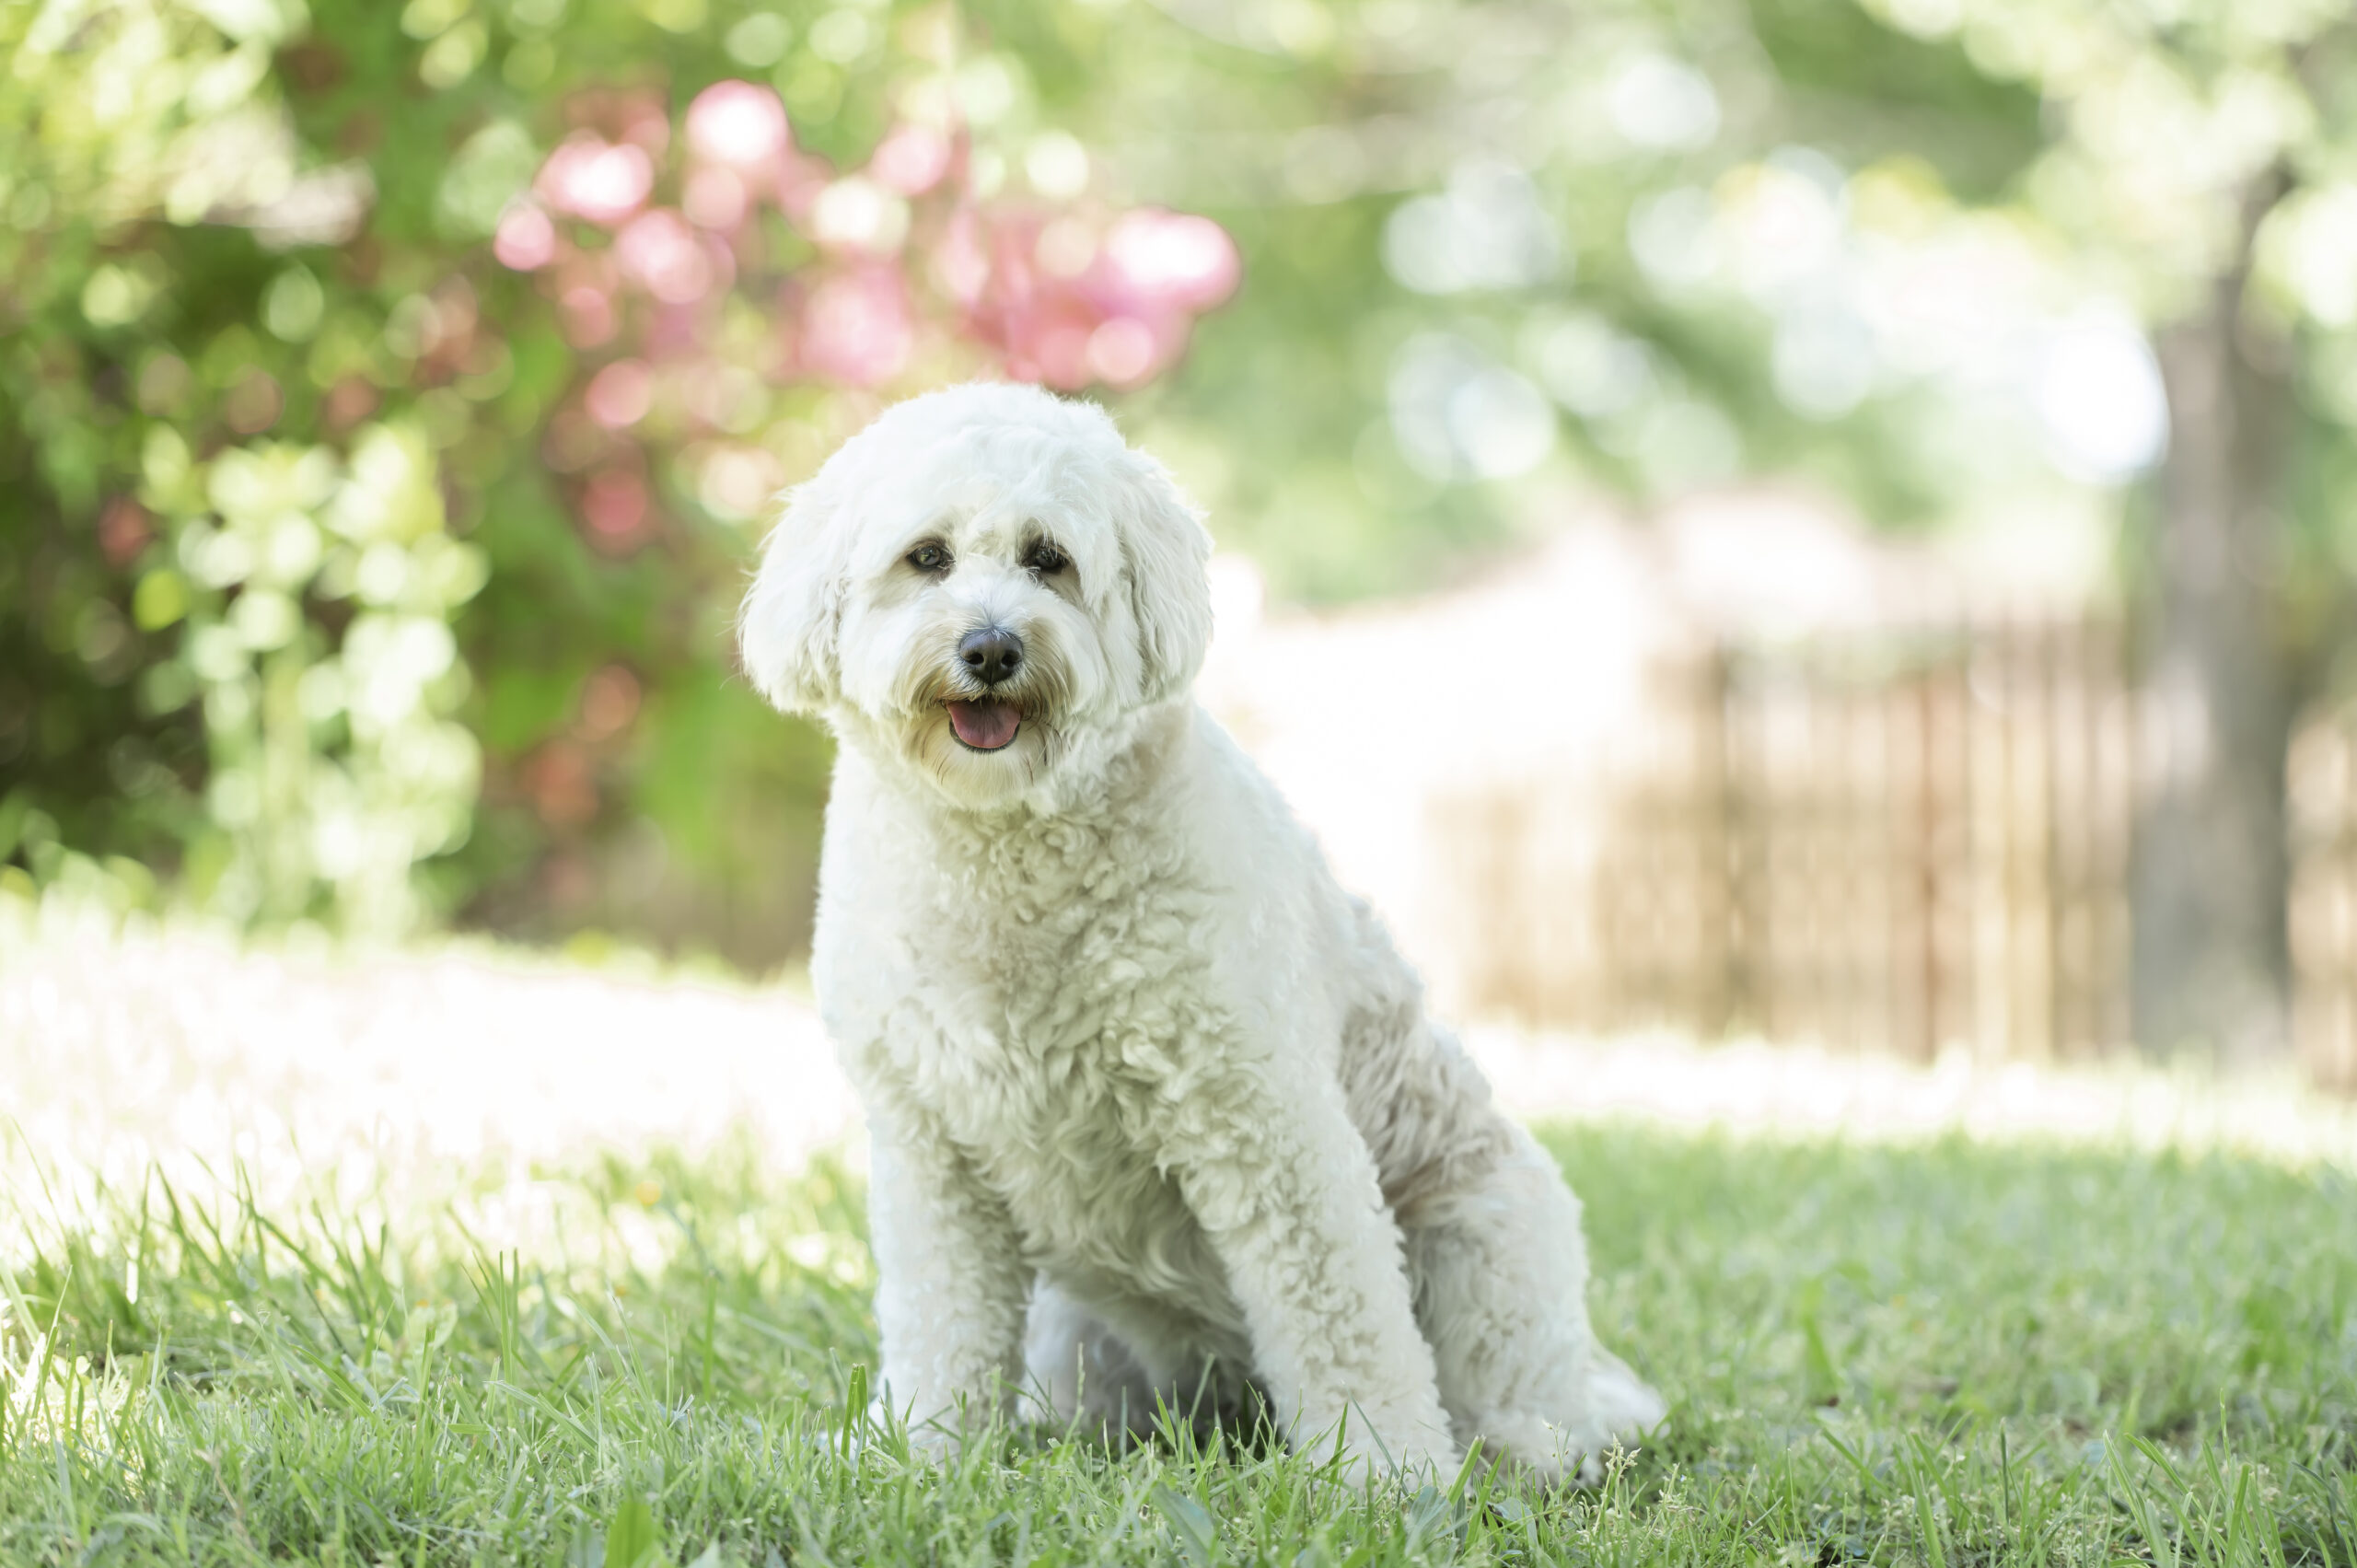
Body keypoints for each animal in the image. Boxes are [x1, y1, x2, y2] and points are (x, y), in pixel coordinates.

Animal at [744, 381, 1668, 1481]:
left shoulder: (1265, 1119)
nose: (991, 648)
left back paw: (1519, 1448)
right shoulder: (931, 1151)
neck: (1006, 850)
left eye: (1048, 557)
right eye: (926, 556)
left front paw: (1387, 1474)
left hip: (1486, 1238)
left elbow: (1343, 1319)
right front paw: (922, 1453)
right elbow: (940, 1322)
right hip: (1072, 1330)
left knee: (1518, 1395)